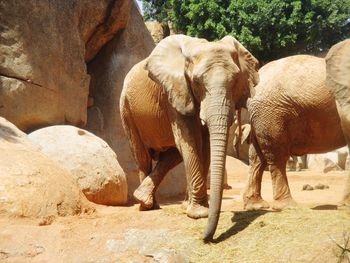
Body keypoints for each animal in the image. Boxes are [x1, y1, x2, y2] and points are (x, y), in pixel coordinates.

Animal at [120, 33, 260, 241]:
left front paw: (194, 208)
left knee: (172, 155)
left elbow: (205, 145)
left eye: (235, 80)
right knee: (142, 155)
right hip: (127, 110)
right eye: (196, 82)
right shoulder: (174, 92)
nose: (205, 237)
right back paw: (146, 205)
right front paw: (199, 213)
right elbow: (191, 140)